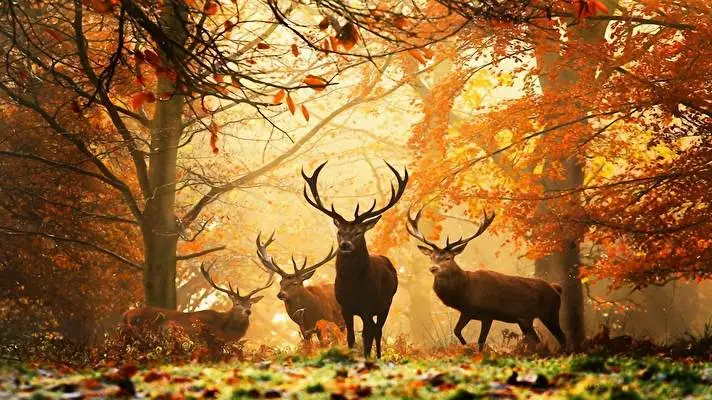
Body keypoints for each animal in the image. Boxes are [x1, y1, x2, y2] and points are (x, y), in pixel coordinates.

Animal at [302, 161, 407, 358]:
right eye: (339, 232)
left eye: (358, 232)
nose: (345, 244)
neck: (354, 286)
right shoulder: (345, 307)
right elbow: (351, 337)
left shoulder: (368, 306)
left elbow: (366, 335)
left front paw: (366, 358)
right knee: (373, 330)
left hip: (386, 303)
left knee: (377, 331)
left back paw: (378, 357)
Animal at [406, 208, 567, 352]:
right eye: (432, 257)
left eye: (448, 258)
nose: (433, 268)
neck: (464, 292)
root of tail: (556, 288)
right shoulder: (467, 312)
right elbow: (457, 331)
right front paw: (466, 347)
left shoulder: (488, 314)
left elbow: (481, 341)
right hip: (525, 320)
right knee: (538, 340)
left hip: (550, 312)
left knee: (562, 337)